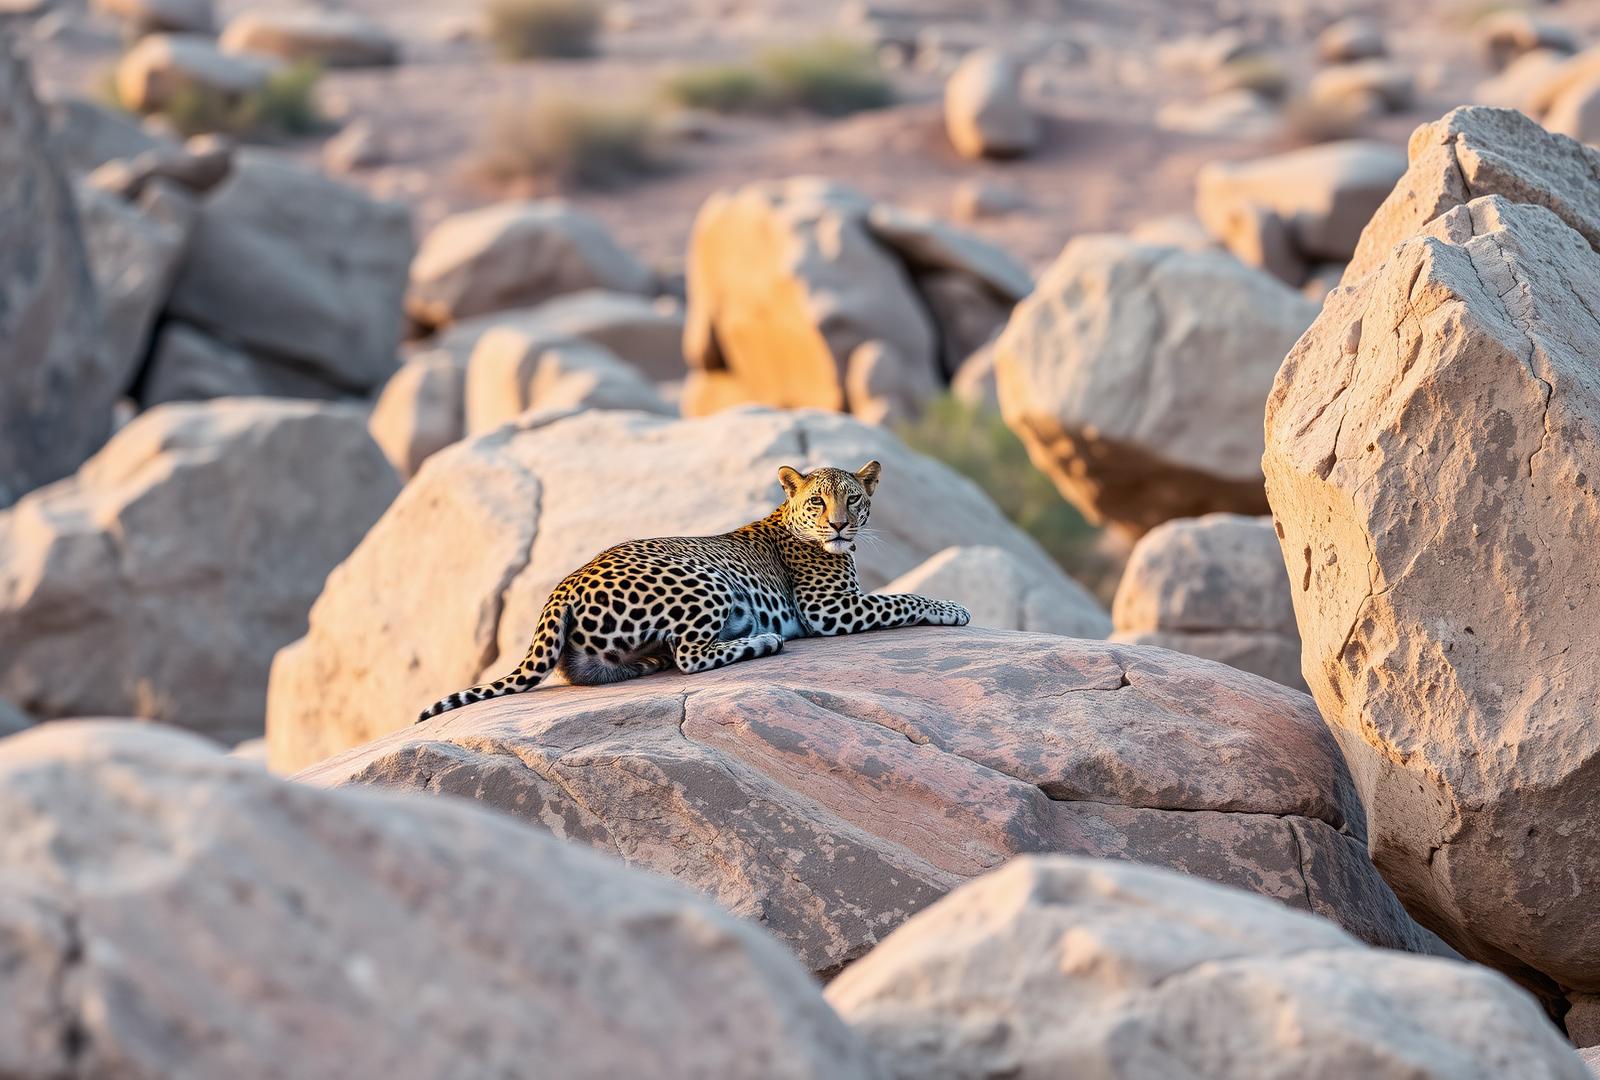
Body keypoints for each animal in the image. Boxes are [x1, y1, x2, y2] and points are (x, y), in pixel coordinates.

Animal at [417, 460, 970, 722]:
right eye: (818, 501)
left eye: (853, 499)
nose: (839, 525)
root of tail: (564, 584)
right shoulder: (829, 608)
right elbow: (903, 598)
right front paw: (953, 608)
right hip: (705, 582)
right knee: (690, 655)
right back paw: (762, 641)